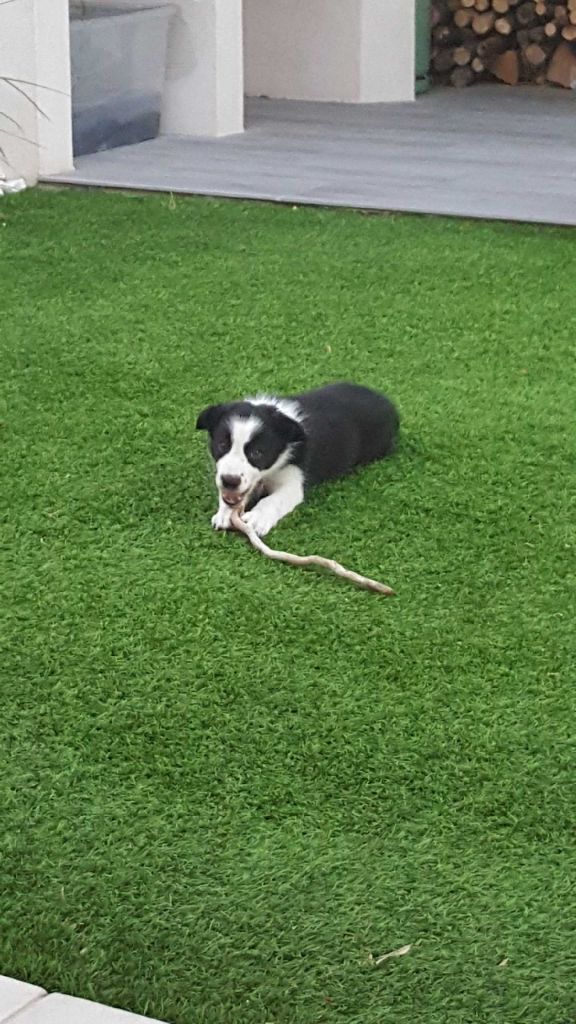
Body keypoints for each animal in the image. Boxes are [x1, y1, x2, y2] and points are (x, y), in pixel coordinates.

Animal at [196, 382, 399, 537]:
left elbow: (272, 500)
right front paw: (225, 511)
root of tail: (389, 404)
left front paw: (257, 518)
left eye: (258, 453)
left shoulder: (294, 483)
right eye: (222, 445)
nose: (229, 481)